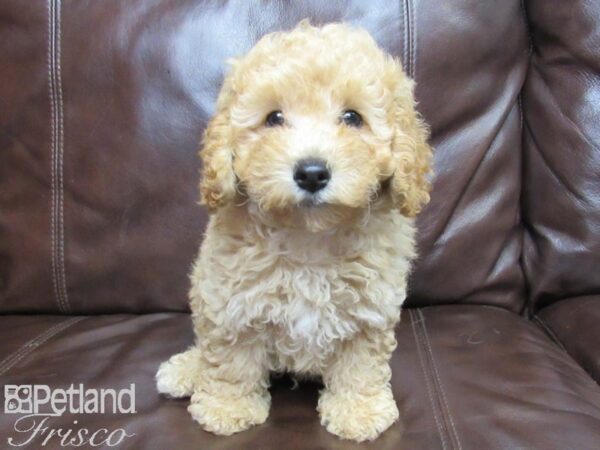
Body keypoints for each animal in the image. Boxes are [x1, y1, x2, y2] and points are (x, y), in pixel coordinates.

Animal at [156, 19, 432, 442]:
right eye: (273, 118)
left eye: (352, 118)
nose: (312, 173)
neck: (309, 237)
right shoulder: (231, 301)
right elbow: (230, 360)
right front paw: (227, 408)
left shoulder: (370, 311)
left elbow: (360, 364)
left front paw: (358, 411)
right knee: (205, 346)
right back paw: (187, 369)